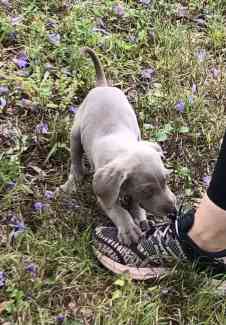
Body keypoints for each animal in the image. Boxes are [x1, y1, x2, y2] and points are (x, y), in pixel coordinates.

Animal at [60, 46, 177, 244]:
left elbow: (133, 201)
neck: (123, 150)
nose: (174, 212)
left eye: (166, 180)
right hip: (75, 133)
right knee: (75, 160)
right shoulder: (102, 191)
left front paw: (138, 214)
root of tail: (102, 85)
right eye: (147, 191)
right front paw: (128, 228)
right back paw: (73, 181)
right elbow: (116, 209)